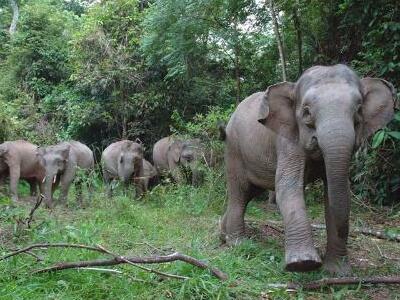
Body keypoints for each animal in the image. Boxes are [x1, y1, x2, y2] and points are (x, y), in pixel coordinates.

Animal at [220, 64, 396, 276]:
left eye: (359, 110)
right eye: (306, 112)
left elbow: (337, 193)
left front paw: (338, 272)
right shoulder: (288, 140)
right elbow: (287, 188)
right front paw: (303, 264)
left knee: (249, 193)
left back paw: (223, 235)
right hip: (234, 150)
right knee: (240, 192)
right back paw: (238, 243)